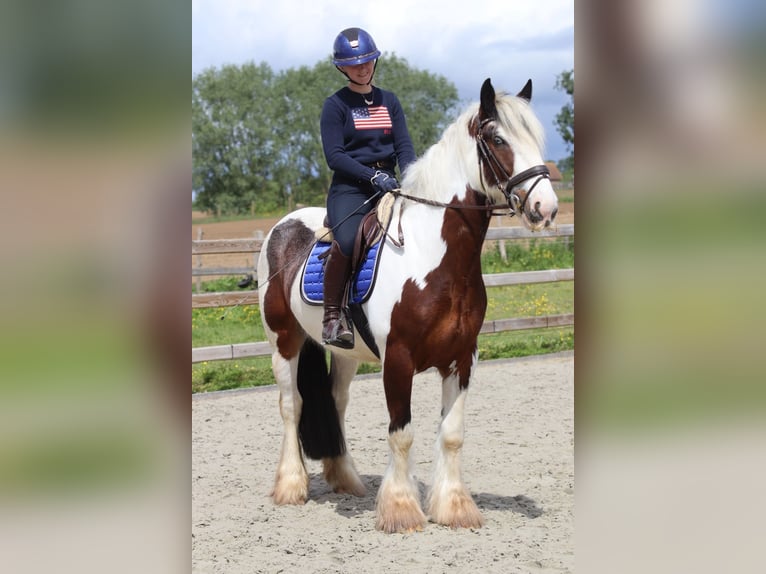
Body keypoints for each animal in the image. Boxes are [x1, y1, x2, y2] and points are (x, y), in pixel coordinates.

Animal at [256, 78, 558, 533]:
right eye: (498, 139)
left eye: (536, 139)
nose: (547, 208)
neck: (432, 255)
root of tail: (283, 226)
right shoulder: (398, 360)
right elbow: (402, 433)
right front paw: (400, 509)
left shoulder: (461, 359)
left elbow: (452, 434)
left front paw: (454, 507)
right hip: (284, 341)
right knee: (292, 406)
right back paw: (291, 485)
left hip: (345, 353)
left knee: (335, 402)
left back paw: (345, 478)